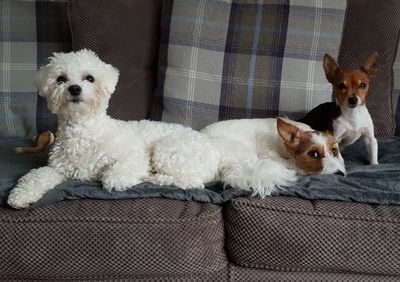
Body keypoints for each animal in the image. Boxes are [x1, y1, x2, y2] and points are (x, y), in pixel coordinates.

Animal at [6, 48, 217, 208]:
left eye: (89, 78)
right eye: (61, 79)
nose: (74, 88)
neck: (84, 131)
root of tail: (212, 150)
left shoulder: (133, 158)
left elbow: (113, 177)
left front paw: (119, 176)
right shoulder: (58, 168)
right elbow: (36, 176)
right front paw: (21, 195)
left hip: (168, 151)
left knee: (190, 181)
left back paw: (155, 178)